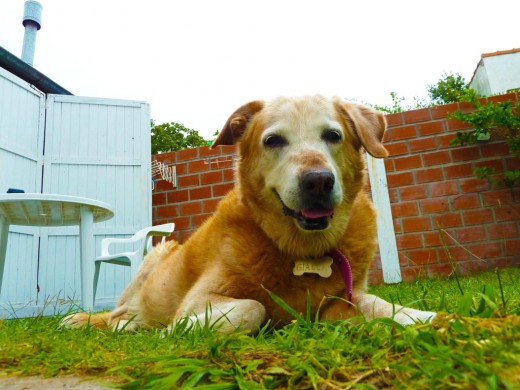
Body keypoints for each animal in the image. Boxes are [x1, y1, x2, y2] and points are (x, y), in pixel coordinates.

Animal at [60, 95, 434, 332]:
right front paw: (177, 330)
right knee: (116, 314)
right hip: (157, 255)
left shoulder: (344, 297)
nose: (318, 181)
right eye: (273, 140)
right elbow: (253, 307)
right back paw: (99, 323)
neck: (302, 251)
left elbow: (377, 304)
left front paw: (424, 317)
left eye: (333, 135)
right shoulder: (200, 298)